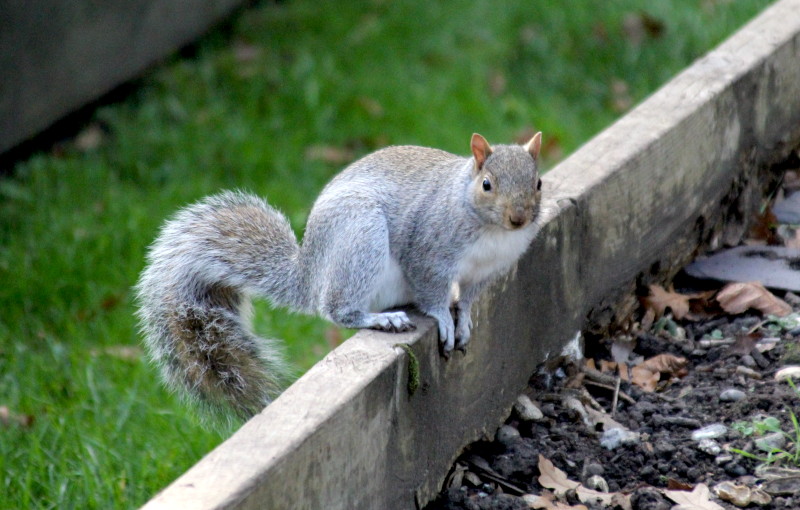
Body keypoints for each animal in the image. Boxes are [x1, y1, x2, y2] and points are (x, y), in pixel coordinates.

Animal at [138, 131, 548, 422]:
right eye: (487, 184)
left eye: (538, 183)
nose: (519, 218)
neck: (492, 232)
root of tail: (310, 273)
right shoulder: (428, 253)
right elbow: (431, 292)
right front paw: (444, 320)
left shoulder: (486, 271)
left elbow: (469, 298)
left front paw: (463, 320)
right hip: (360, 237)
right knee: (337, 310)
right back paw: (381, 319)